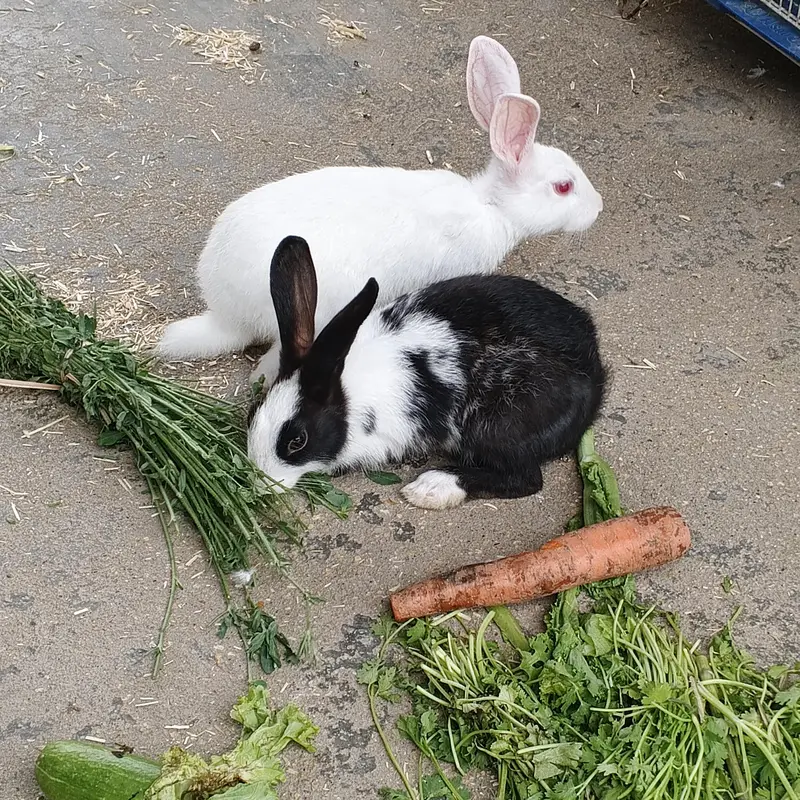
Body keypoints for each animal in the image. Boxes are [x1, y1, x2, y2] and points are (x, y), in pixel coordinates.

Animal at [247, 235, 607, 510]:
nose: (260, 484)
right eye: (253, 413)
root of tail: (595, 377)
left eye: (297, 441)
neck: (349, 398)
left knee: (526, 479)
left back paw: (430, 487)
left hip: (495, 426)